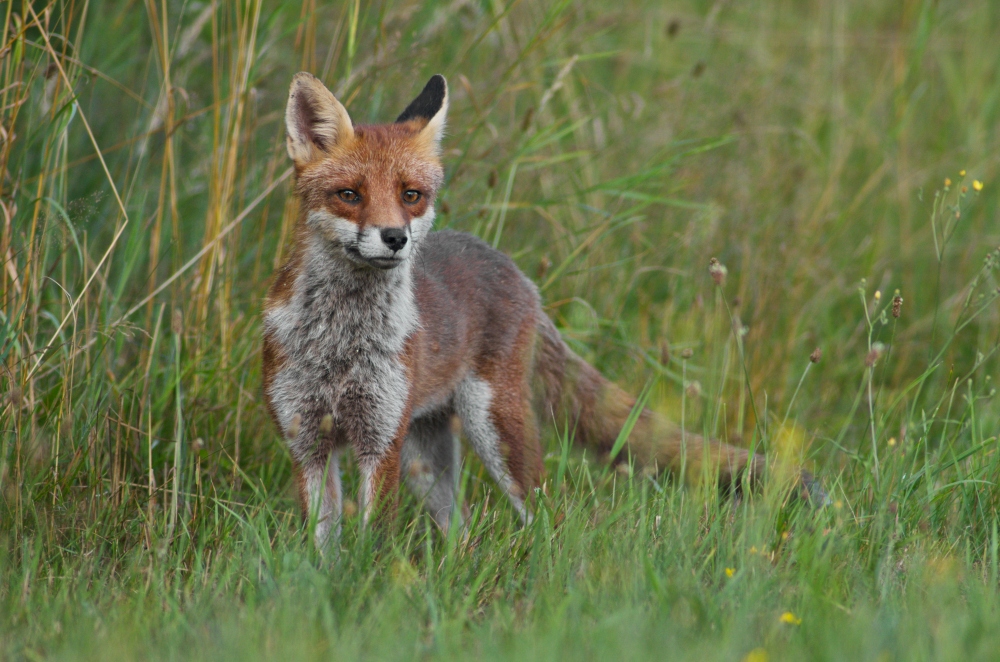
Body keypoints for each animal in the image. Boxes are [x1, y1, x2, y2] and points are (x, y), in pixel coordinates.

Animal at [262, 72, 824, 548]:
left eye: (411, 195)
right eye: (350, 195)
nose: (395, 237)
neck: (341, 341)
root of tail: (512, 267)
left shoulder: (381, 439)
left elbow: (372, 541)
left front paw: (368, 583)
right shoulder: (306, 439)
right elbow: (321, 544)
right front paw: (329, 584)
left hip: (494, 430)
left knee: (549, 514)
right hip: (428, 453)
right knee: (460, 527)